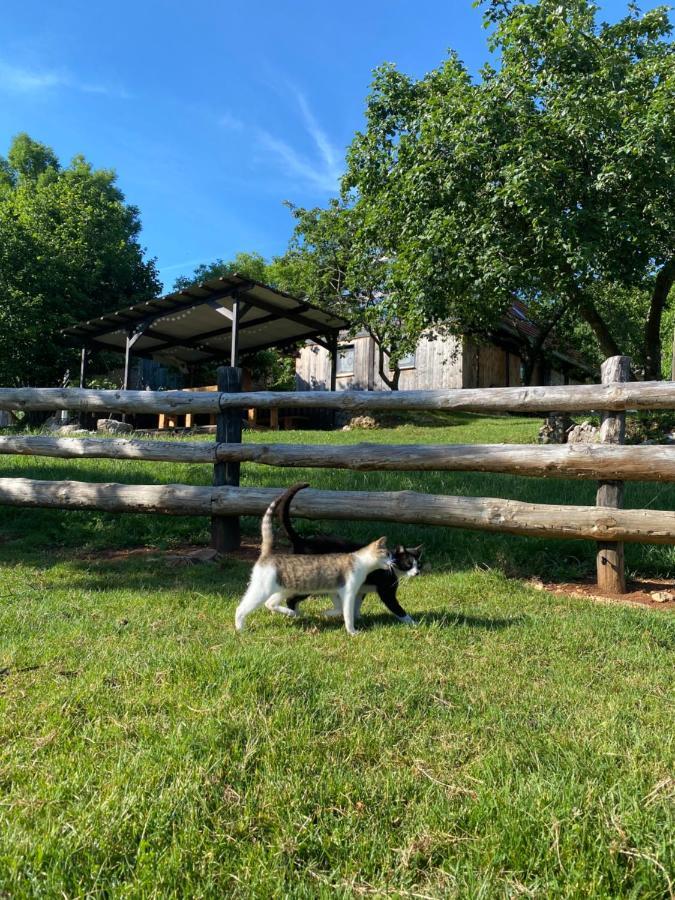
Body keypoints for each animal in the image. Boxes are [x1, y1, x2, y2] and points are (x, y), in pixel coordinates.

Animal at [235, 488, 394, 636]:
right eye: (387, 554)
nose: (393, 561)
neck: (361, 561)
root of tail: (267, 555)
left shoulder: (334, 591)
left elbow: (338, 609)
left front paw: (326, 614)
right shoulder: (348, 592)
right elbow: (348, 614)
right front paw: (352, 632)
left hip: (286, 589)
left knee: (271, 603)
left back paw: (292, 613)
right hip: (262, 590)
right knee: (241, 608)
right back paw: (240, 629)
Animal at [274, 482, 422, 624]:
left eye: (419, 565)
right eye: (408, 564)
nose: (417, 573)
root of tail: (302, 540)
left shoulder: (361, 591)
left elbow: (356, 605)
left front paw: (358, 619)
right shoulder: (386, 592)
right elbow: (399, 610)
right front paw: (414, 623)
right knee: (291, 599)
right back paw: (295, 615)